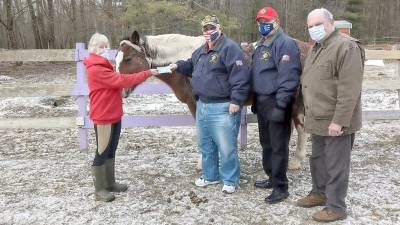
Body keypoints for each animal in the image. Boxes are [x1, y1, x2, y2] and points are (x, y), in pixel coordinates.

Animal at [115, 30, 310, 171]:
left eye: (129, 58)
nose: (119, 88)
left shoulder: (197, 105)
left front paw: (203, 162)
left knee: (301, 129)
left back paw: (294, 162)